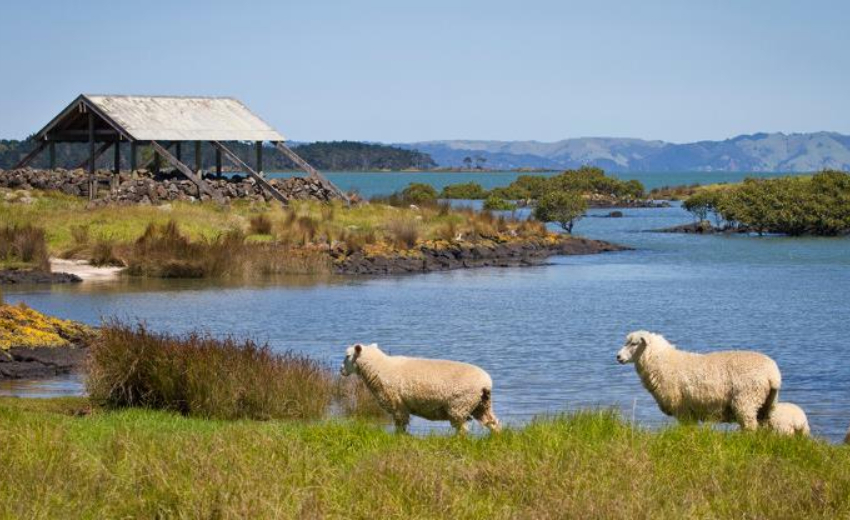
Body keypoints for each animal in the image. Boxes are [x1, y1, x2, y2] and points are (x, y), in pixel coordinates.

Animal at [340, 343, 500, 435]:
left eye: (347, 356)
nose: (341, 370)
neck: (380, 367)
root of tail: (486, 382)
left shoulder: (398, 405)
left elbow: (400, 427)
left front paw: (399, 439)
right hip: (481, 405)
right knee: (493, 423)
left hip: (460, 405)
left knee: (463, 429)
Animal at [616, 331, 781, 431]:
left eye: (634, 343)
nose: (618, 357)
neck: (663, 361)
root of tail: (773, 373)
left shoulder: (681, 408)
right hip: (766, 404)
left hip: (746, 400)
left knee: (750, 428)